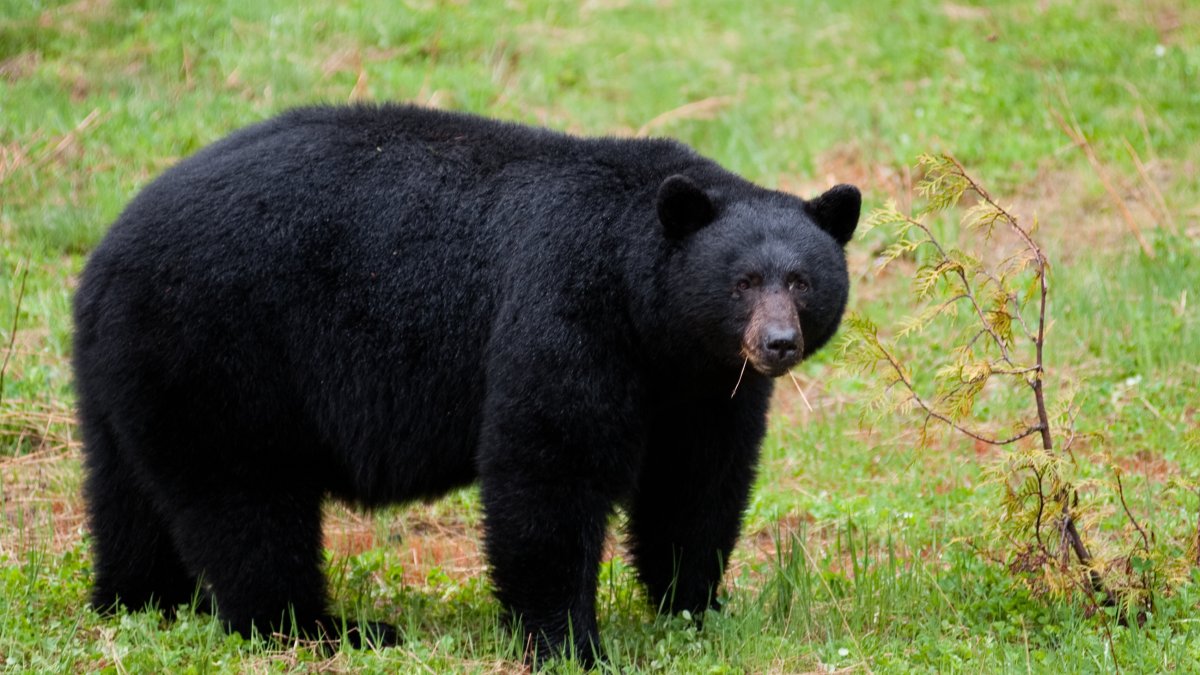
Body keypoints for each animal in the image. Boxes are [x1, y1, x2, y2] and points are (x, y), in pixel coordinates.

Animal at [72, 104, 860, 666]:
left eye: (801, 280)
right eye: (742, 282)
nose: (776, 343)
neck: (648, 315)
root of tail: (105, 255)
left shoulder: (700, 383)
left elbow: (696, 482)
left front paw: (699, 608)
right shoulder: (567, 308)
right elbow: (548, 465)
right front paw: (571, 643)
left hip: (132, 372)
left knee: (129, 495)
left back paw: (139, 600)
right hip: (224, 348)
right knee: (247, 504)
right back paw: (327, 627)